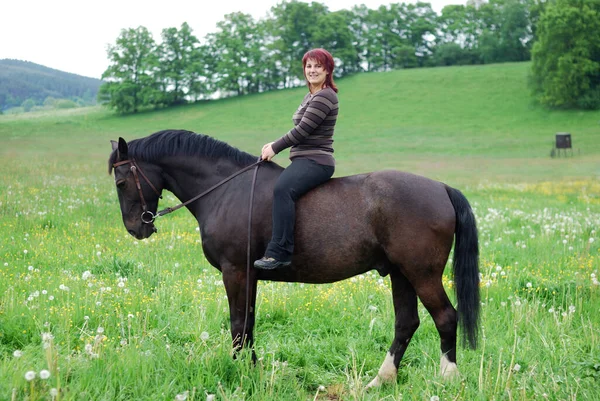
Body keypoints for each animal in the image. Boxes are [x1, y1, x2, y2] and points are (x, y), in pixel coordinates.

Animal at [108, 130, 480, 386]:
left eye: (122, 182)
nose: (135, 229)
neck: (225, 189)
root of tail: (441, 188)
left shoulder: (234, 272)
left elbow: (238, 323)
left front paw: (238, 372)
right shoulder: (249, 275)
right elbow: (249, 323)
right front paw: (252, 370)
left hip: (421, 273)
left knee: (446, 317)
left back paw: (447, 378)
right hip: (402, 274)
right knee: (406, 323)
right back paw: (381, 380)